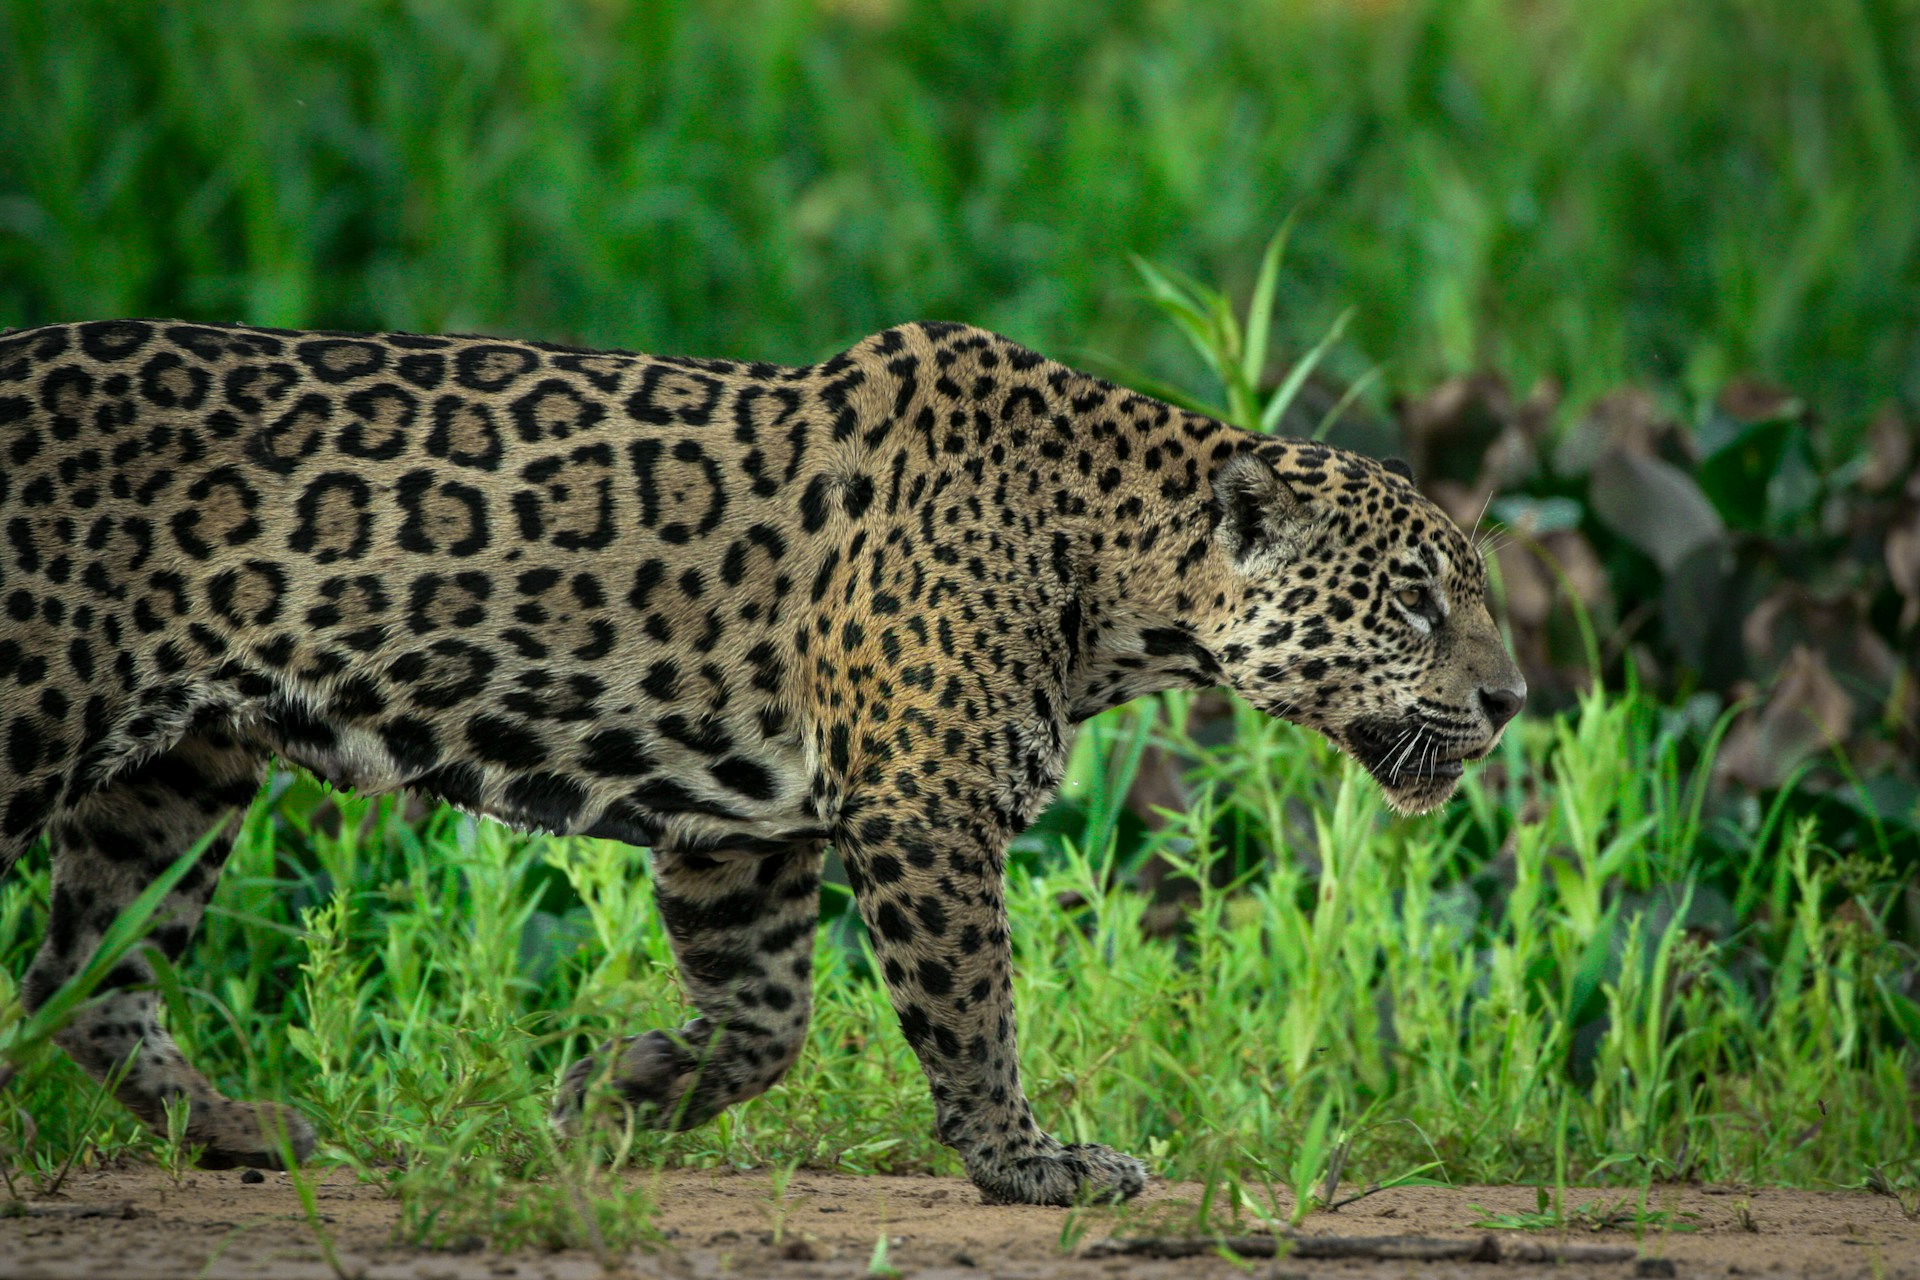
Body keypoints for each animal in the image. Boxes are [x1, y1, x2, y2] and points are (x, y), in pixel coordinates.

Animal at [0, 317, 1524, 1206]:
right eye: (1414, 601)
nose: (1511, 699)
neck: (1118, 579)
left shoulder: (746, 832)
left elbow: (764, 1021)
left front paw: (610, 1098)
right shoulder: (923, 804)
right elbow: (974, 1007)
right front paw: (1029, 1163)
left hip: (179, 773)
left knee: (87, 973)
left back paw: (242, 1134)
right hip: (37, 706)